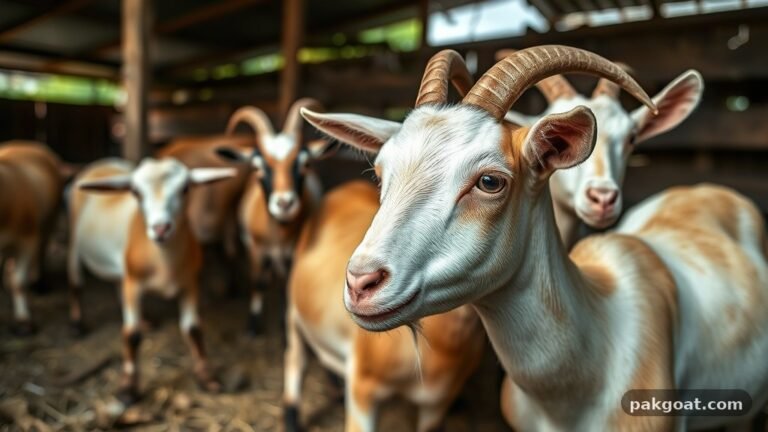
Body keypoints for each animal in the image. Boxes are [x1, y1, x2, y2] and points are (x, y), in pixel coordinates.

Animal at [0, 141, 63, 335]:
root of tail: (26, 143)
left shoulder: (28, 240)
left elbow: (19, 281)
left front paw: (23, 321)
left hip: (50, 219)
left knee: (42, 250)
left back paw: (40, 284)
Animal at [69, 157, 235, 402]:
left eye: (185, 188)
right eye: (136, 192)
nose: (161, 228)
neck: (164, 264)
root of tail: (104, 162)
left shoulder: (190, 282)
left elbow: (193, 328)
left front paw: (207, 378)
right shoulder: (134, 283)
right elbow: (131, 334)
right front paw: (128, 388)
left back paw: (146, 320)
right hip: (74, 240)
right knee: (76, 281)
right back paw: (77, 323)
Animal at [216, 99, 330, 335]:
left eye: (305, 164)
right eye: (258, 167)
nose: (284, 203)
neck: (279, 232)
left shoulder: (294, 252)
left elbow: (286, 284)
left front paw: (283, 321)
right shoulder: (254, 248)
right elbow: (257, 281)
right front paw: (253, 326)